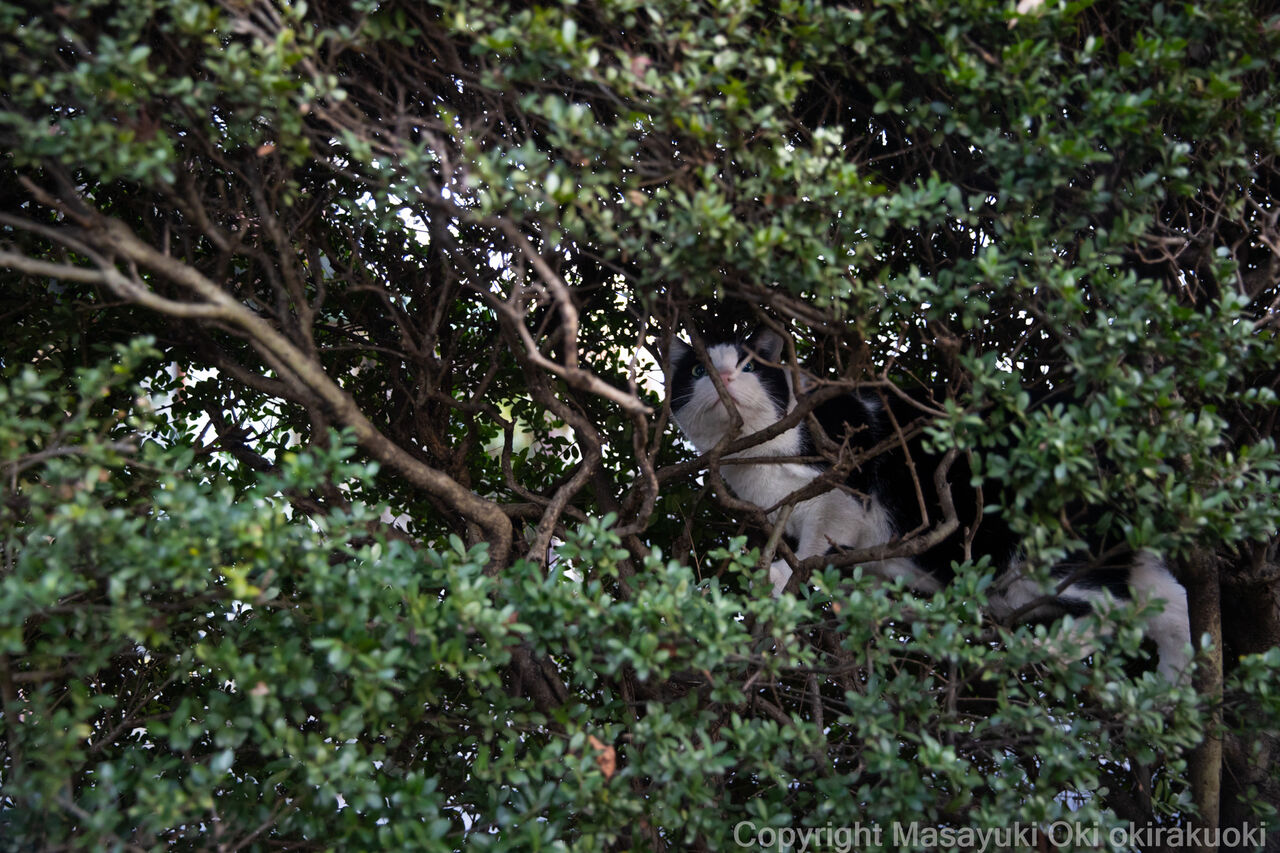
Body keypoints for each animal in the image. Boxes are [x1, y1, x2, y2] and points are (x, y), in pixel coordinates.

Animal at [665, 322, 1192, 681]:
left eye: (751, 365)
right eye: (698, 370)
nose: (725, 378)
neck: (755, 455)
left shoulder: (844, 488)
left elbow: (815, 545)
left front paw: (778, 579)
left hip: (1049, 552)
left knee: (1115, 606)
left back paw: (1056, 650)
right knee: (1168, 601)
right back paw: (1171, 691)